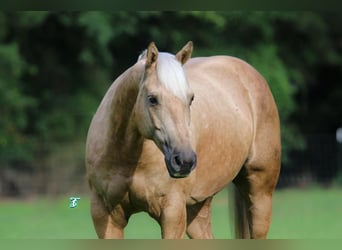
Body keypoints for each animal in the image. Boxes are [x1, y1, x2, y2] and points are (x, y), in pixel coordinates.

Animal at [85, 41, 280, 238]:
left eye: (191, 98)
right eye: (152, 99)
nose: (185, 160)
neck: (128, 157)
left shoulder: (172, 213)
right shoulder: (105, 216)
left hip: (260, 195)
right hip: (197, 208)